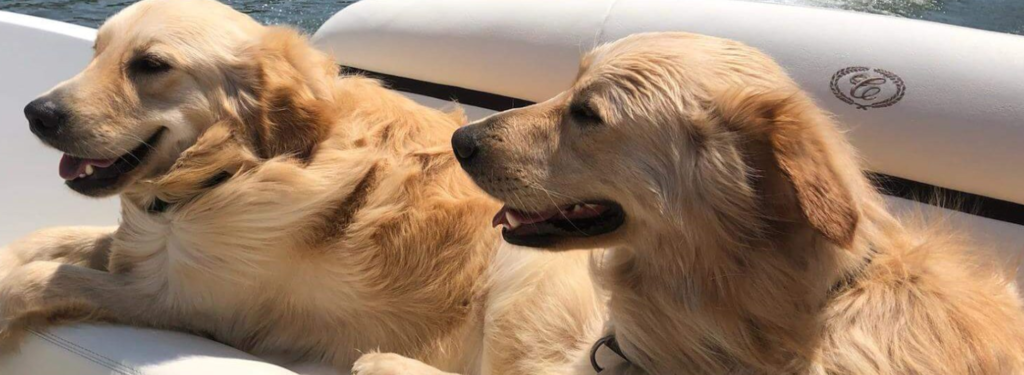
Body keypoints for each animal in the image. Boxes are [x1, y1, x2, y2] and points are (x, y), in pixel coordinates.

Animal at [2, 0, 606, 372]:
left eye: (151, 64)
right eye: (96, 52)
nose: (36, 113)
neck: (229, 172)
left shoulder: (180, 304)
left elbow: (49, 279)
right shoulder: (146, 252)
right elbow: (49, 242)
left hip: (528, 272)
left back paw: (383, 362)